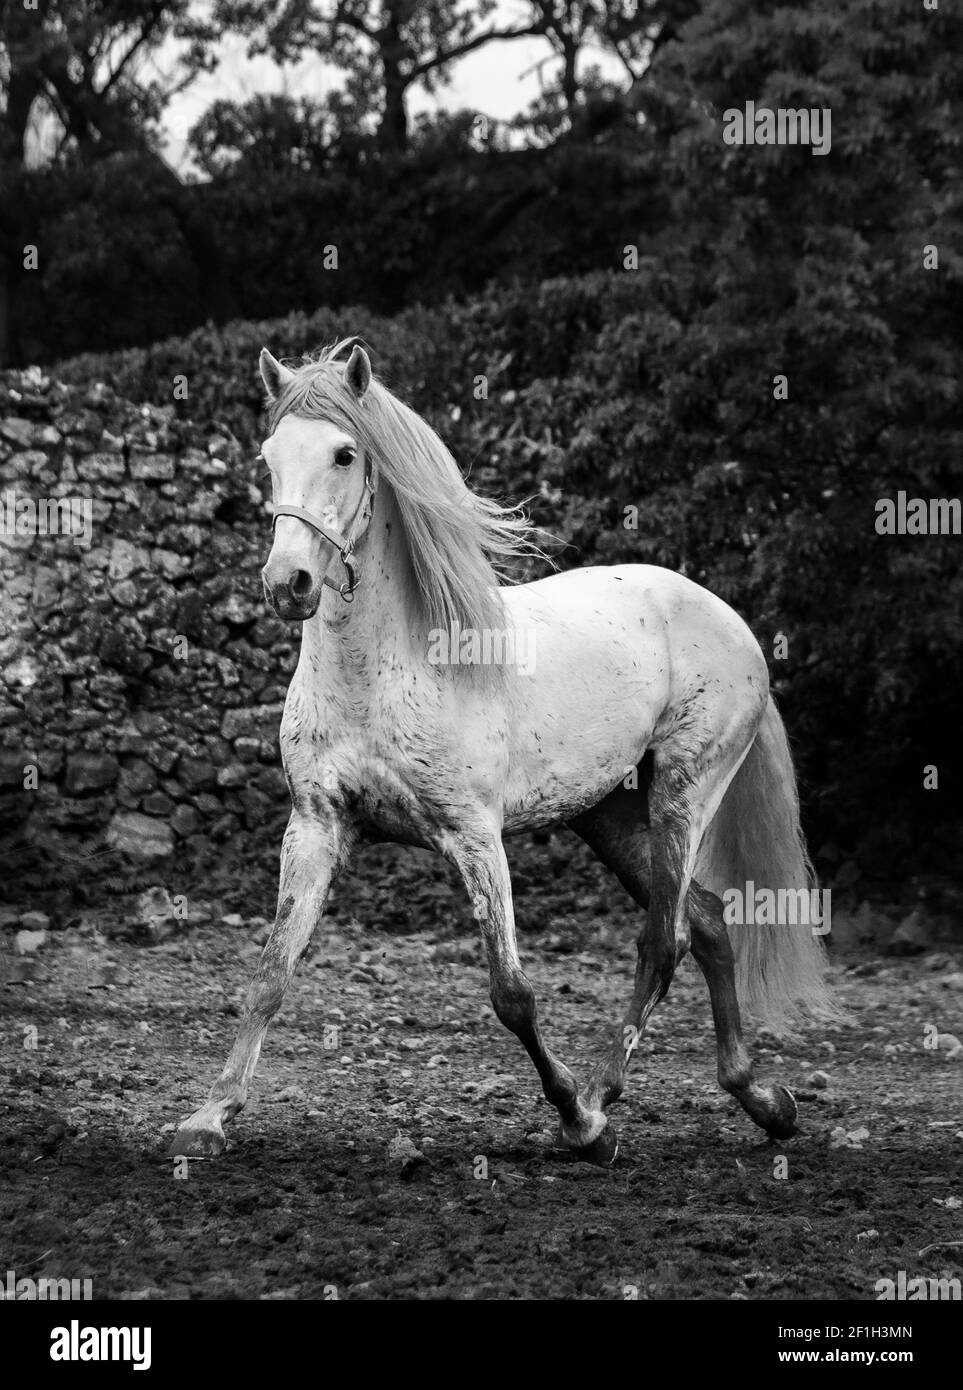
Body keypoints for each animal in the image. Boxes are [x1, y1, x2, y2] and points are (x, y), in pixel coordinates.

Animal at [169, 337, 835, 1165]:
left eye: (345, 454)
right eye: (268, 458)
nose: (286, 582)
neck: (385, 668)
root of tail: (725, 616)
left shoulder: (473, 835)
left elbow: (511, 995)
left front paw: (575, 1118)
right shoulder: (316, 826)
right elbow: (270, 973)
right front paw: (209, 1117)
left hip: (683, 791)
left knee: (664, 939)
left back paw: (601, 1101)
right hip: (606, 813)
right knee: (707, 922)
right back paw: (762, 1100)